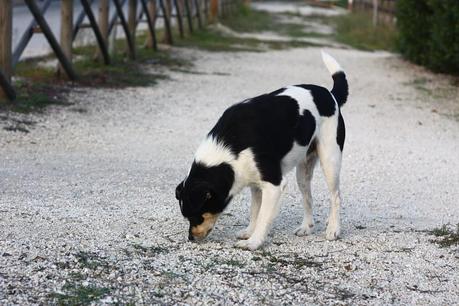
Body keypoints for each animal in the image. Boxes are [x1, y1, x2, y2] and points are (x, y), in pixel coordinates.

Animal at [176, 51, 348, 250]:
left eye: (196, 215)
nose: (190, 238)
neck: (231, 146)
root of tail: (330, 95)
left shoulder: (274, 185)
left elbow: (263, 217)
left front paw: (254, 242)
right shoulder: (255, 183)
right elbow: (255, 211)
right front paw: (249, 232)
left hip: (330, 161)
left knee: (336, 196)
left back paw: (333, 229)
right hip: (303, 172)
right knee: (308, 198)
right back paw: (306, 227)